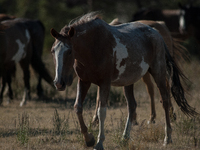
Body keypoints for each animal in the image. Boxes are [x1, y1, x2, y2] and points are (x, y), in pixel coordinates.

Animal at [50, 12, 198, 149]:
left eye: (69, 51)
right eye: (53, 51)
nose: (59, 83)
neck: (94, 46)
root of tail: (157, 33)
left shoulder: (105, 83)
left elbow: (101, 111)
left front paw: (99, 142)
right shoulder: (84, 81)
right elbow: (78, 108)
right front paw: (89, 139)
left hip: (159, 73)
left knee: (165, 100)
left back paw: (167, 137)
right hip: (129, 81)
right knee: (132, 106)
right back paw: (124, 137)